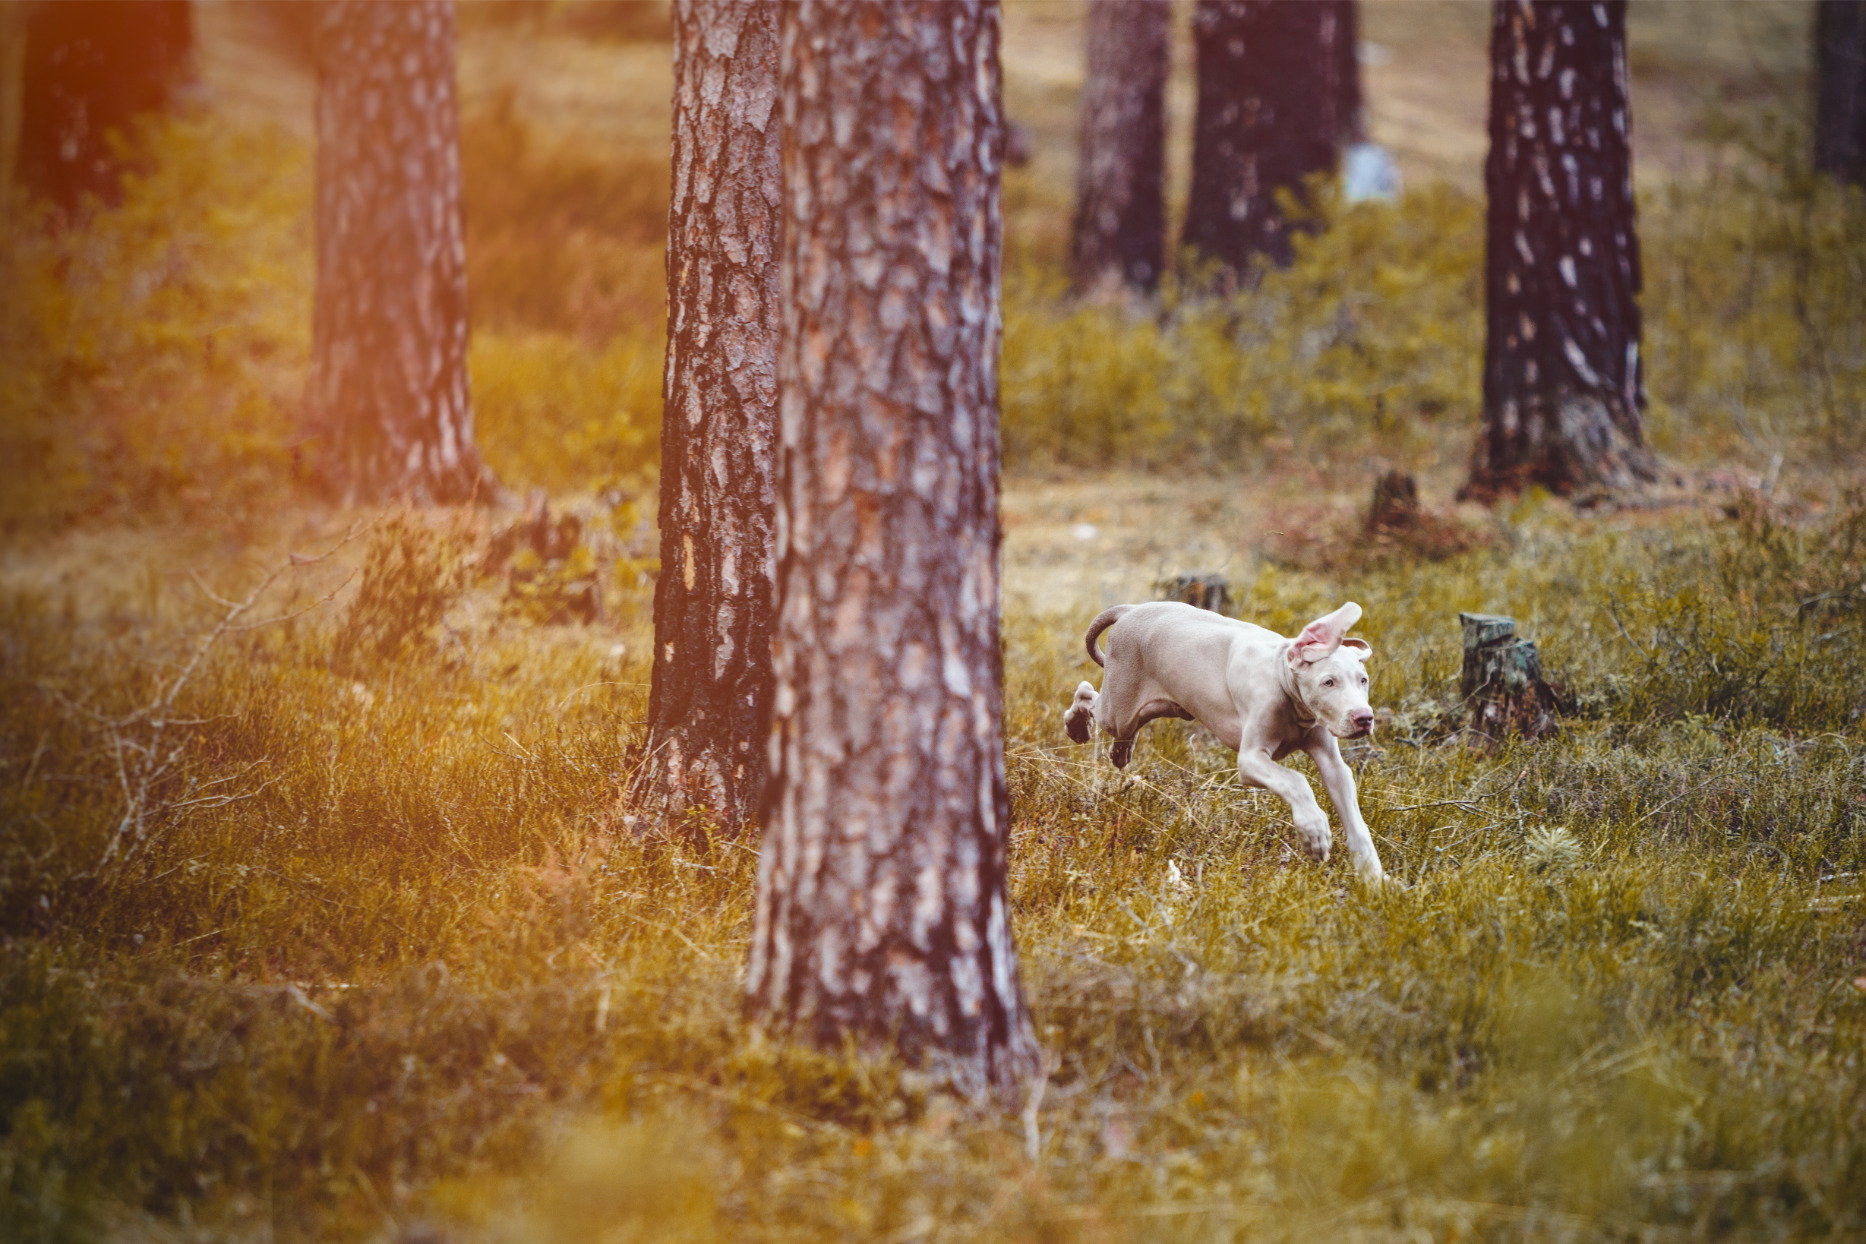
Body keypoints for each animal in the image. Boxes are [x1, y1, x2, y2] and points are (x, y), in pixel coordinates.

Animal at [1067, 600, 1388, 876]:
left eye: (1363, 680)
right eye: (1328, 682)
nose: (1364, 718)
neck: (1282, 678)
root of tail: (1131, 609)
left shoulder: (1334, 766)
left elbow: (1354, 819)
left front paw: (1374, 879)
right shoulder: (1251, 760)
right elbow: (1296, 781)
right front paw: (1314, 831)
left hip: (1161, 706)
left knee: (1125, 726)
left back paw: (1120, 752)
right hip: (1117, 711)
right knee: (1086, 694)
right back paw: (1077, 727)